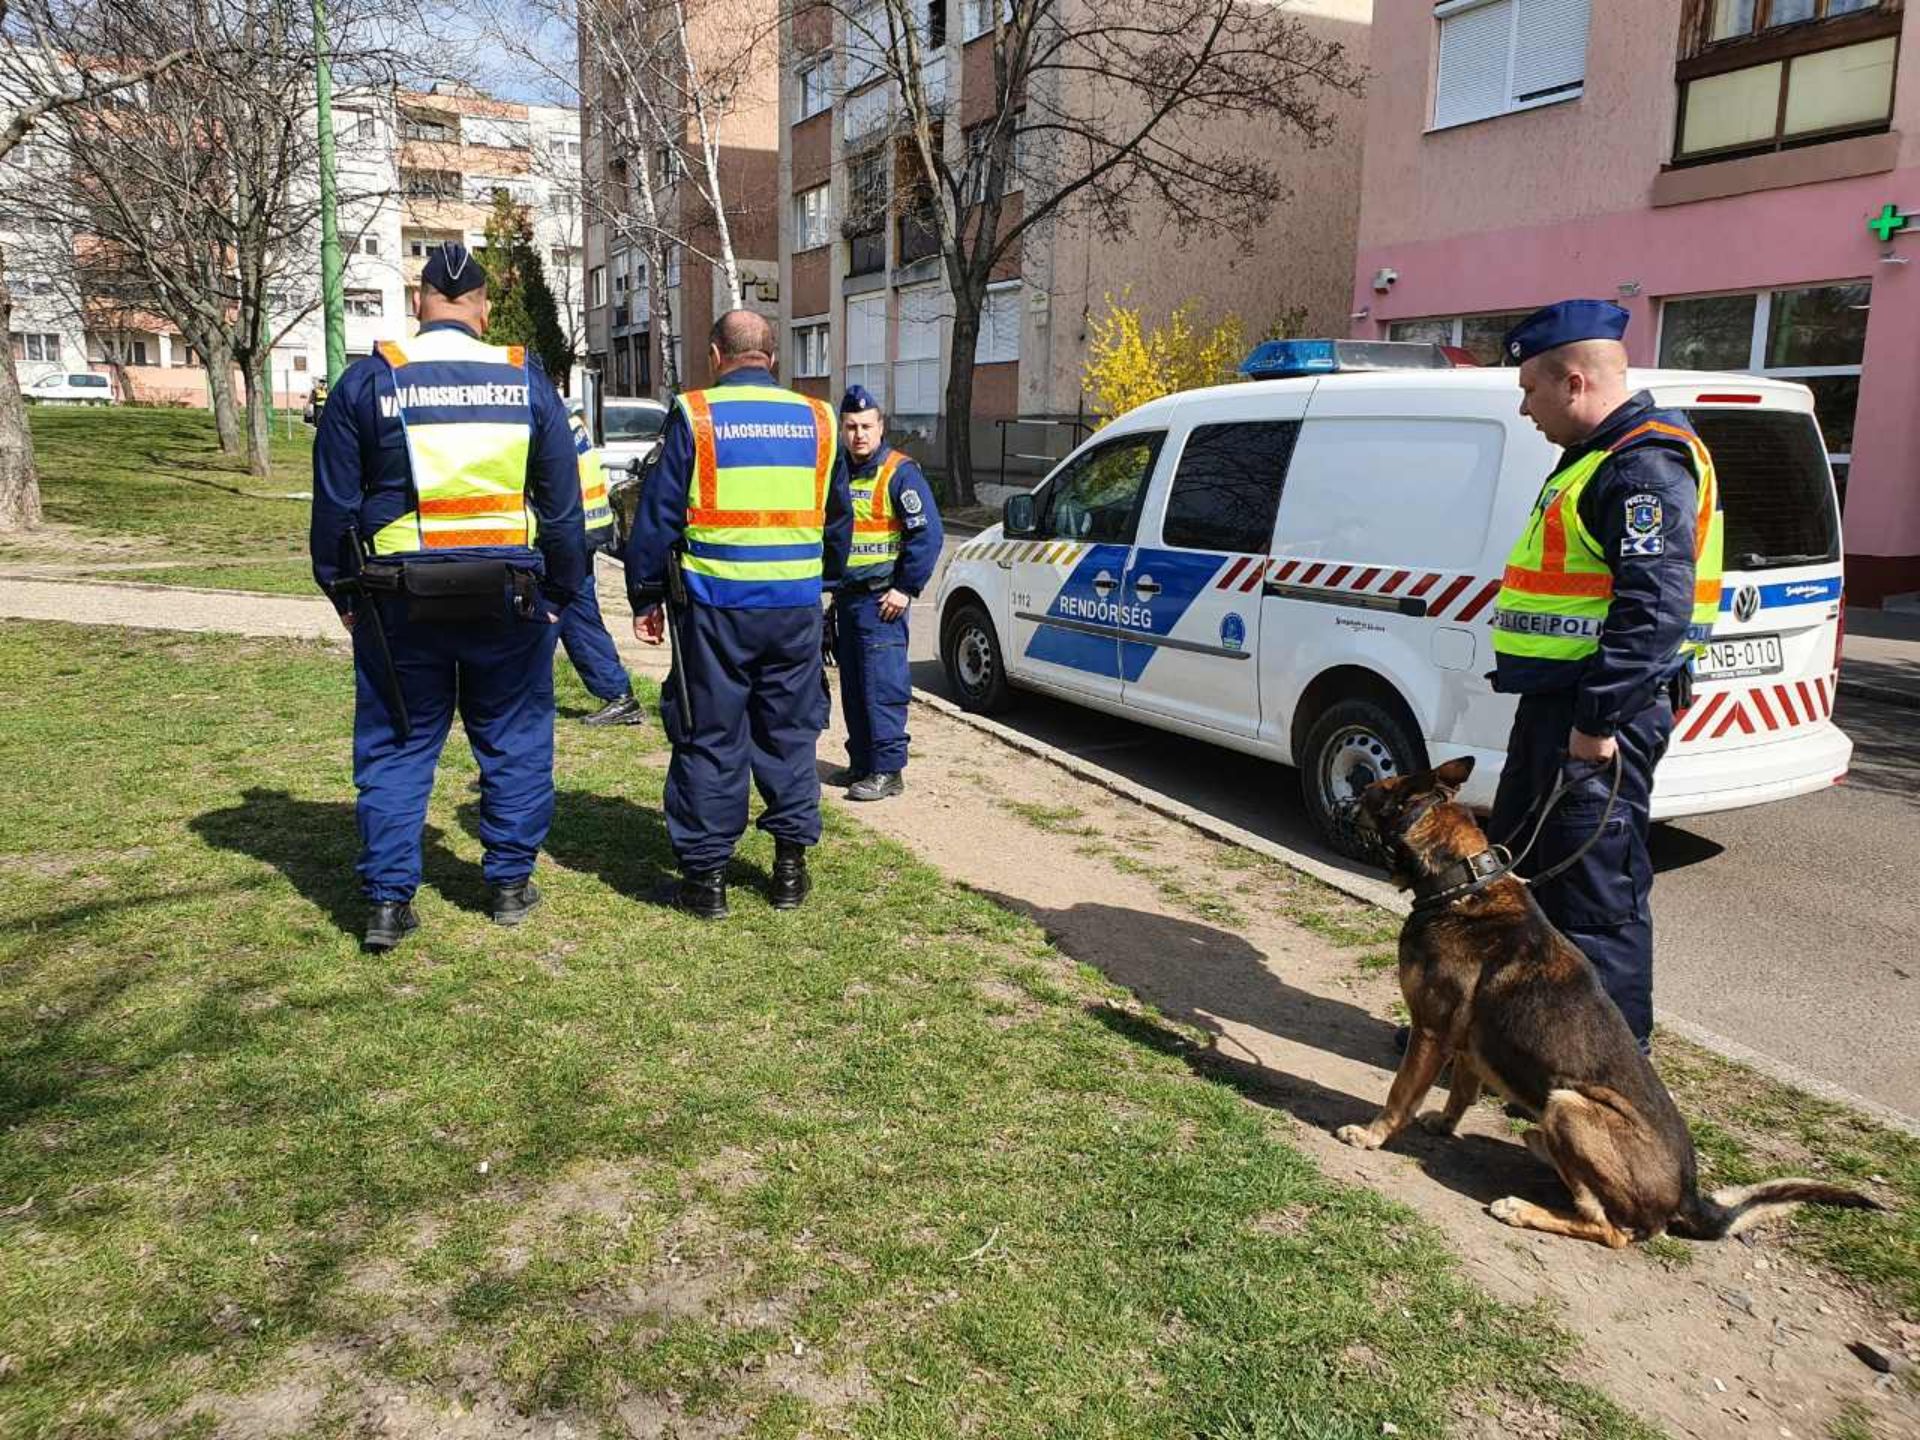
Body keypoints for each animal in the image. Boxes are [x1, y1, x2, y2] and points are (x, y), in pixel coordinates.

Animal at [1336, 756, 1873, 1251]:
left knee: (1611, 1229)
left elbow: (1401, 1094)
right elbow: (1462, 1092)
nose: (1346, 797)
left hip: (1569, 1106)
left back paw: (1523, 1209)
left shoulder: (1431, 1031)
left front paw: (1372, 1135)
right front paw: (1444, 1125)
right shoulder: (1469, 1044)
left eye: (1370, 789)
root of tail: (1689, 1197)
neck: (1461, 884)